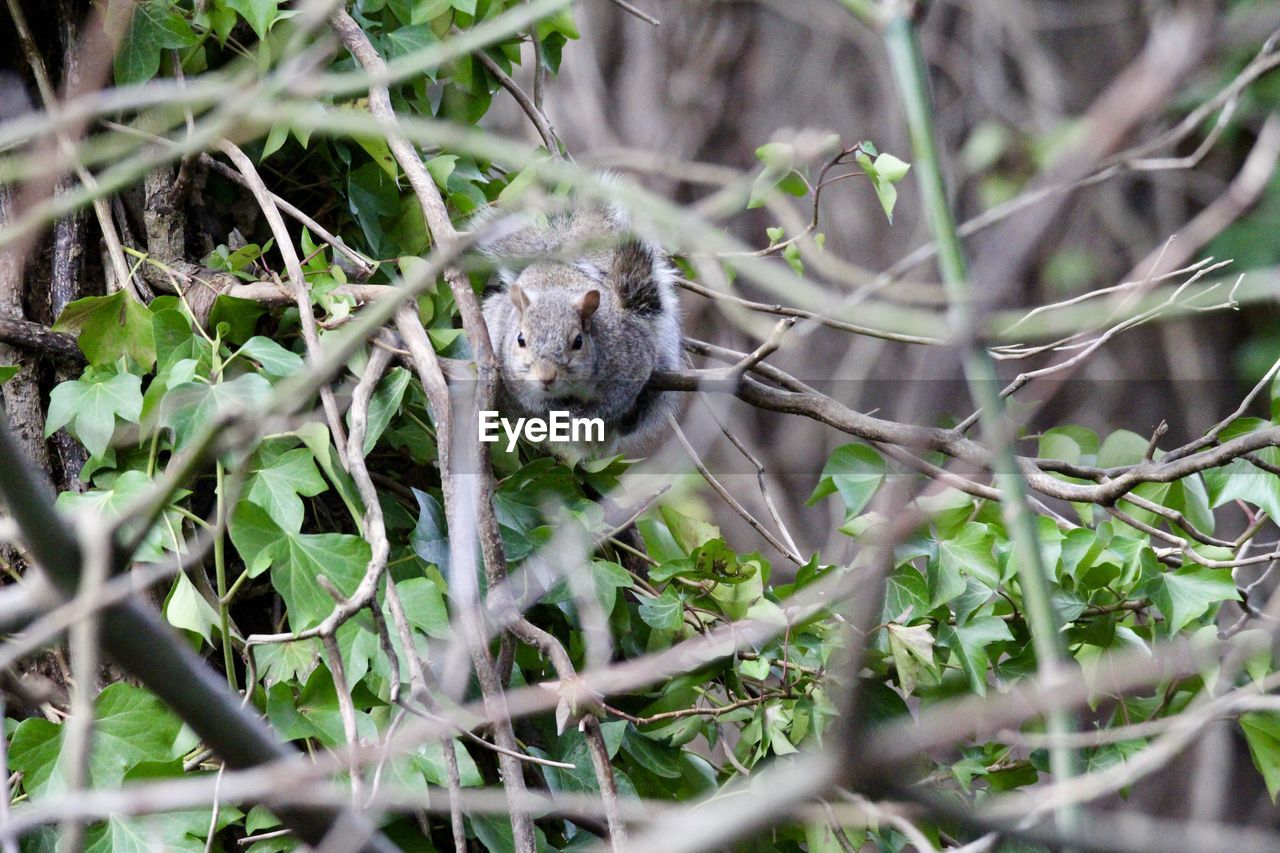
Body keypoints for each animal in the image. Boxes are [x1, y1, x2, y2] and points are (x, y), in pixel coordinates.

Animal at [478, 197, 680, 455]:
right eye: (520, 339)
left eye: (578, 341)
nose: (546, 377)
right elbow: (534, 404)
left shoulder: (630, 365)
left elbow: (611, 405)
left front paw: (582, 414)